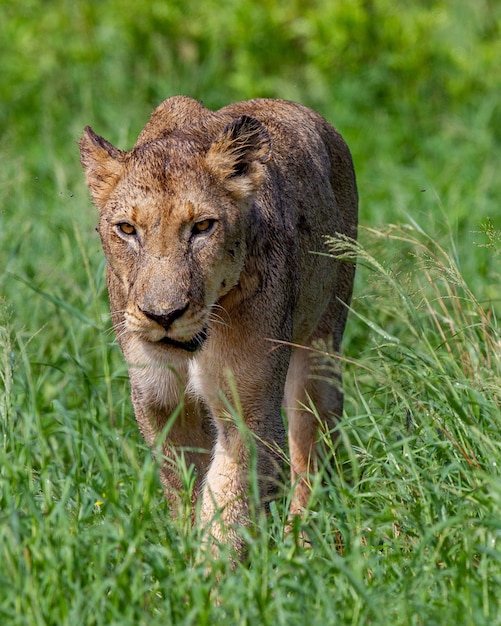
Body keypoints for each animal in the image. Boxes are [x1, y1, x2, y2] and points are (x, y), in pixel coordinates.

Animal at [79, 95, 356, 552]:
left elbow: (231, 505)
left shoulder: (248, 407)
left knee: (312, 455)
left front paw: (213, 571)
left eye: (203, 227)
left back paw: (302, 545)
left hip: (321, 347)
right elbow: (186, 491)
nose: (164, 315)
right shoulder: (160, 402)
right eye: (127, 229)